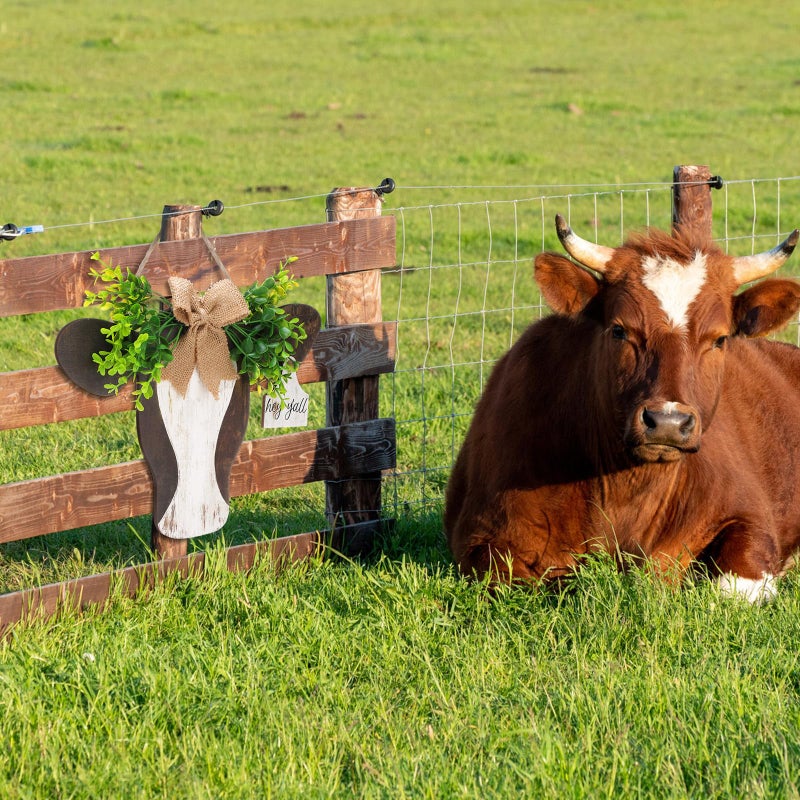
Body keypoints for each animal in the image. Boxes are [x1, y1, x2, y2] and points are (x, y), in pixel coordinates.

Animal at [444, 215, 800, 603]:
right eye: (619, 330)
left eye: (719, 339)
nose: (668, 422)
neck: (623, 493)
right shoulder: (482, 540)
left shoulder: (750, 517)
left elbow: (731, 588)